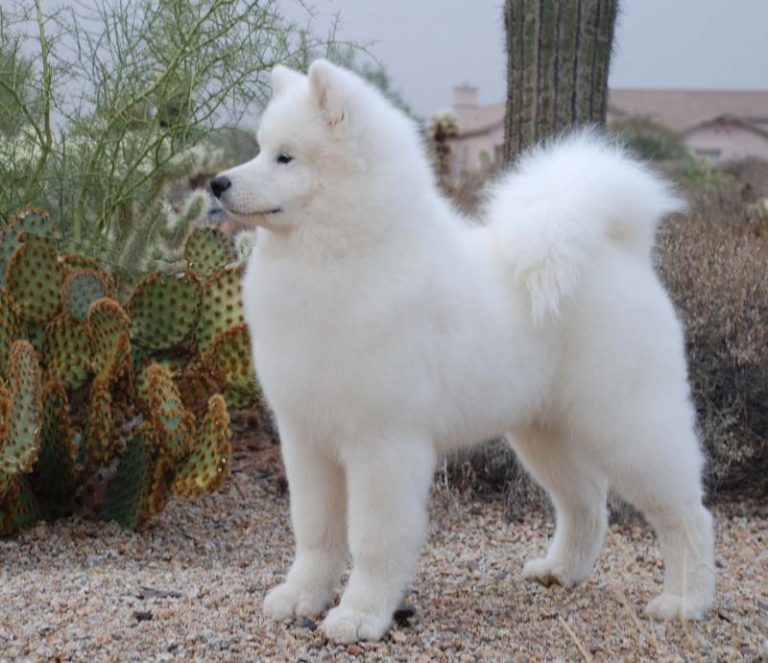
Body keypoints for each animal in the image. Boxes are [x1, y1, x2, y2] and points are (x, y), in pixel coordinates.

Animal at [210, 61, 712, 644]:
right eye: (259, 149)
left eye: (285, 157)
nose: (216, 183)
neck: (341, 254)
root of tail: (621, 250)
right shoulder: (307, 439)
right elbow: (315, 532)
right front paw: (301, 598)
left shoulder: (384, 444)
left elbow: (375, 539)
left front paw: (360, 615)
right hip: (545, 434)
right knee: (587, 504)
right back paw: (560, 572)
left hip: (628, 427)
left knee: (687, 514)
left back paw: (685, 601)